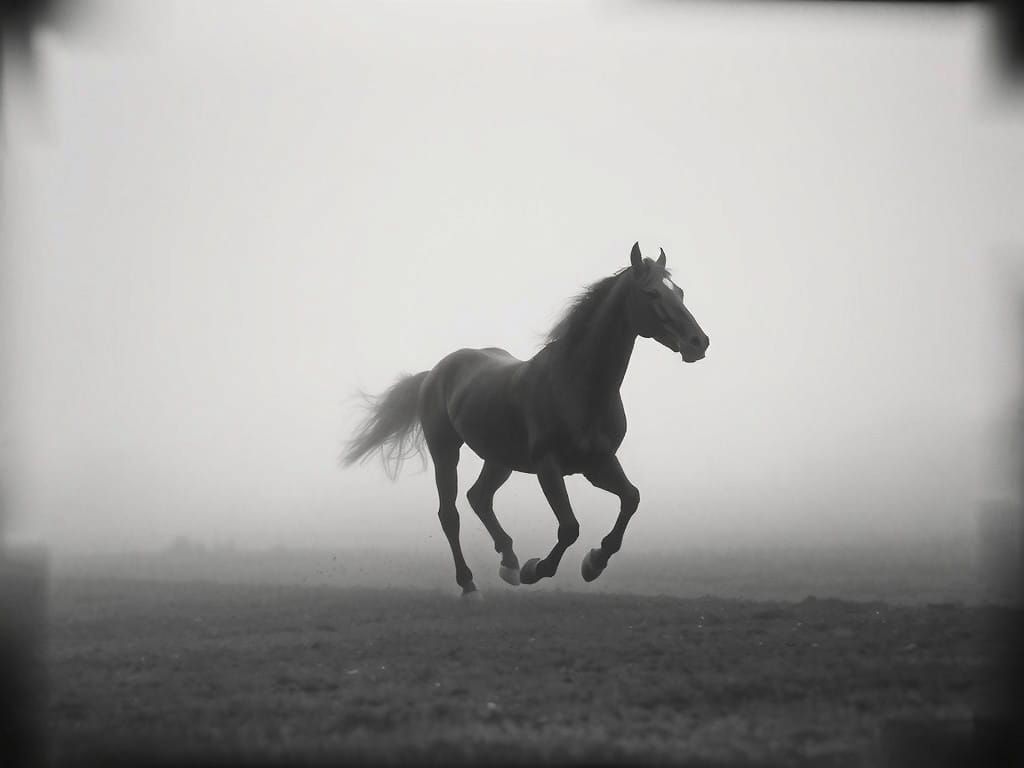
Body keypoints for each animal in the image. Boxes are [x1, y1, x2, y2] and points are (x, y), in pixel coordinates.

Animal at [342, 242, 709, 596]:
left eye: (679, 292)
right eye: (652, 293)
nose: (698, 342)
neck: (575, 385)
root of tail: (434, 373)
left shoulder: (598, 463)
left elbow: (631, 499)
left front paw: (594, 563)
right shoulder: (548, 466)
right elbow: (569, 527)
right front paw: (537, 569)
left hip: (499, 459)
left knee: (479, 497)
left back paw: (508, 561)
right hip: (445, 452)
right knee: (450, 515)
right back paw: (469, 584)